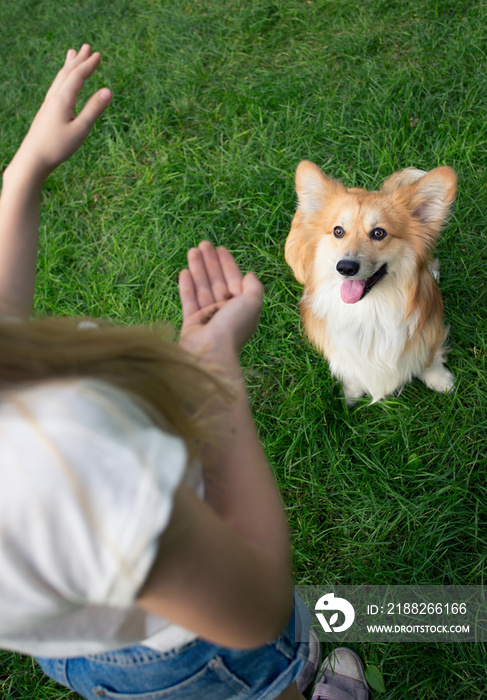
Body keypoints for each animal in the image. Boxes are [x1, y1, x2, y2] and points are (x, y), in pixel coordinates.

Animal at [286, 161, 458, 402]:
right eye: (338, 231)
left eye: (378, 233)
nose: (345, 267)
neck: (371, 309)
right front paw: (351, 393)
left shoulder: (428, 329)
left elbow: (430, 358)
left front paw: (441, 381)